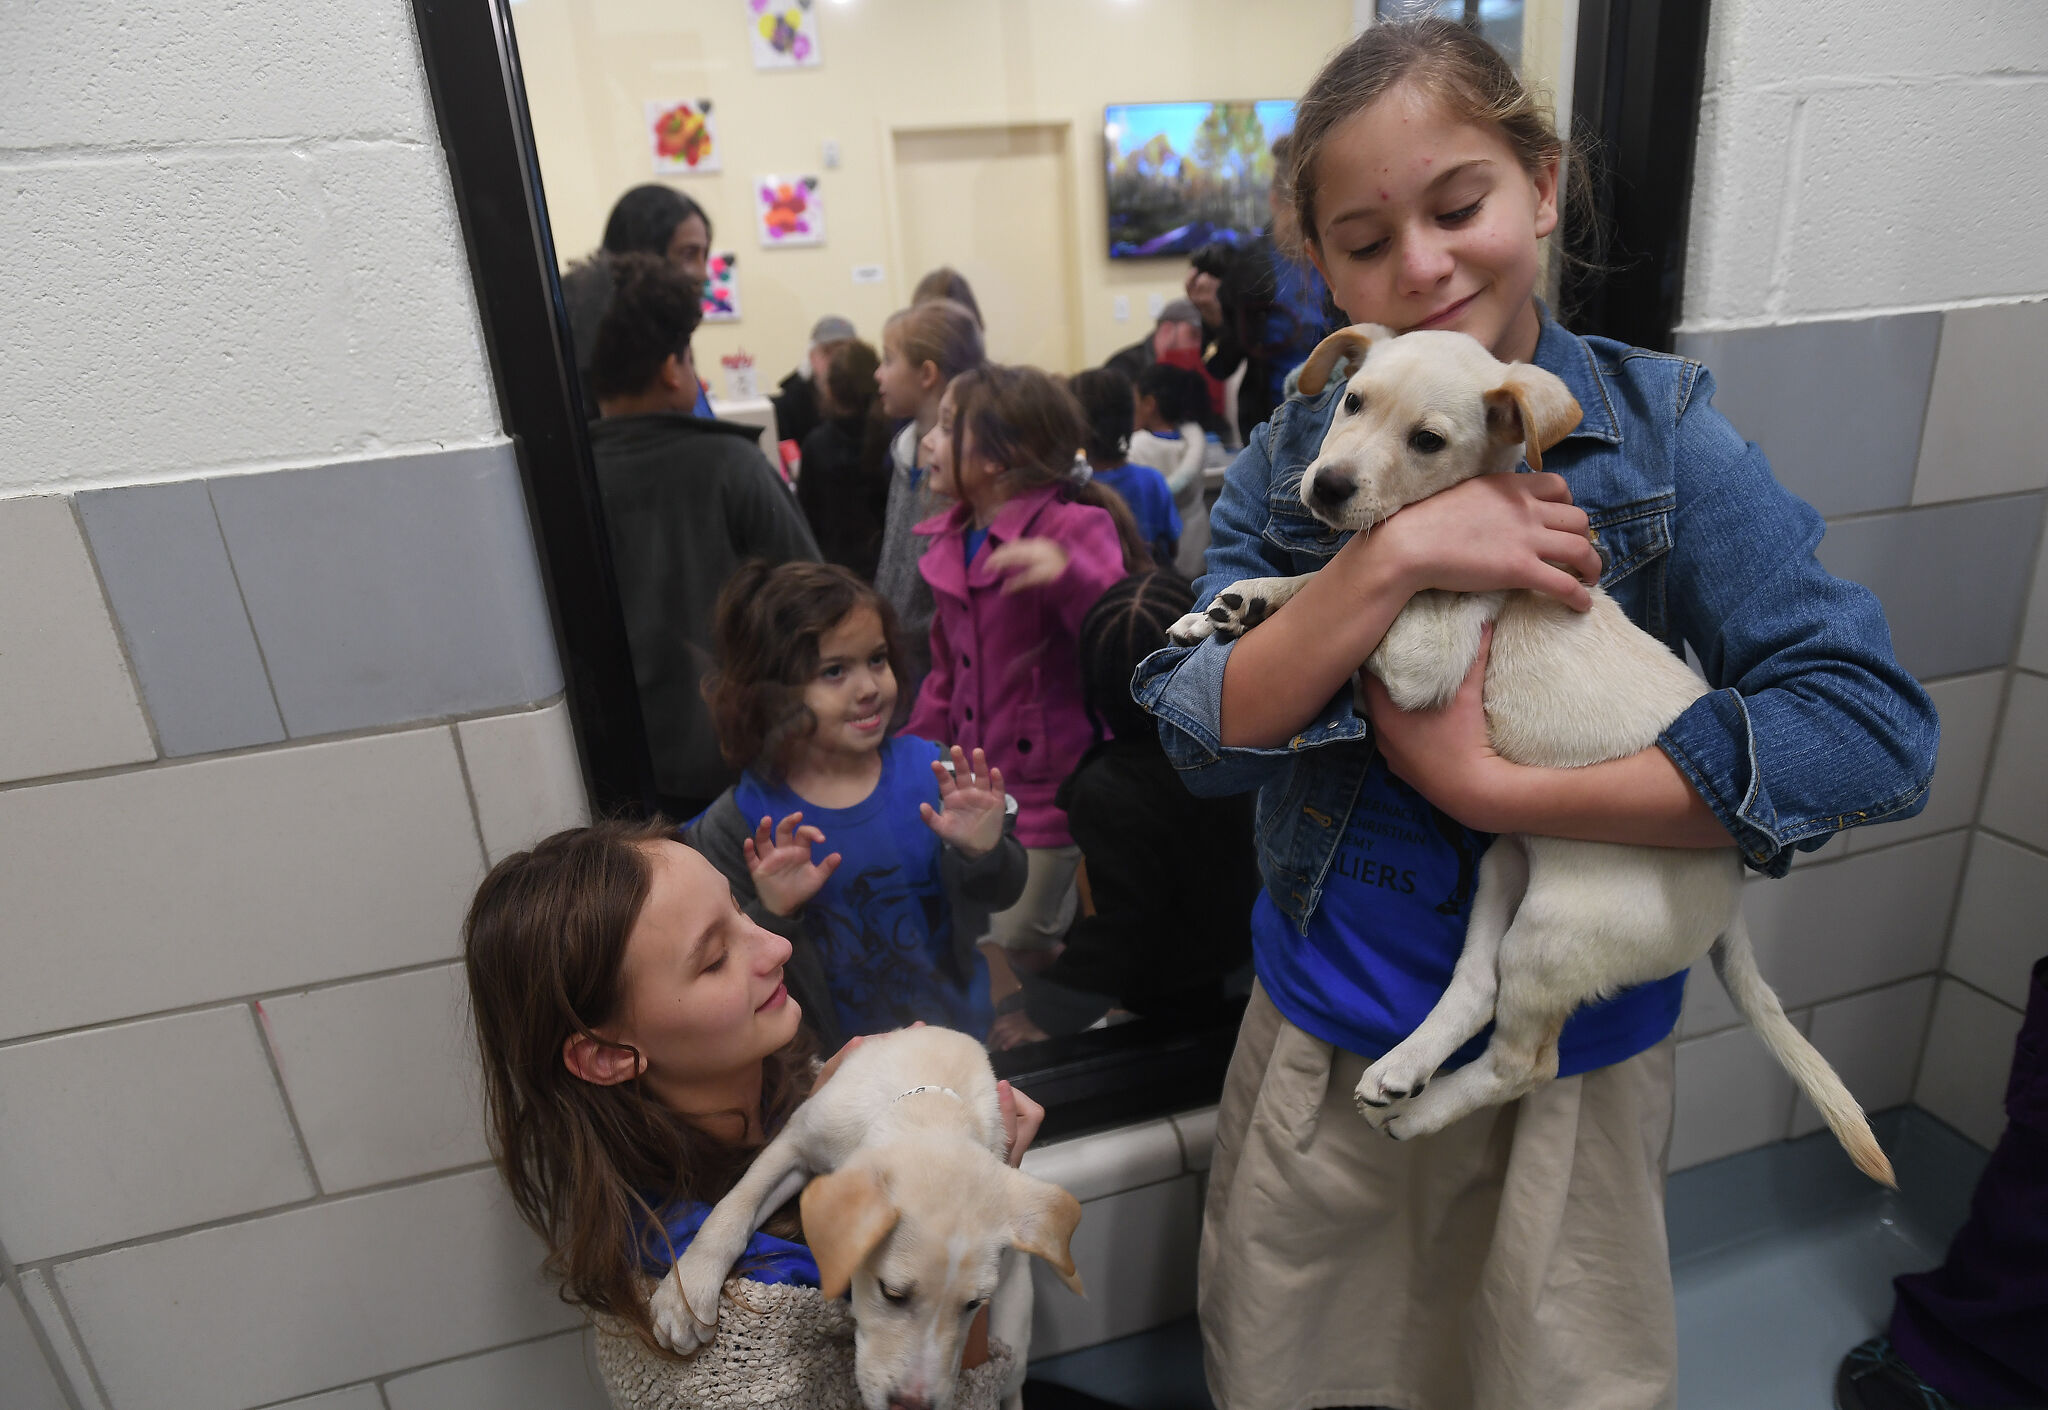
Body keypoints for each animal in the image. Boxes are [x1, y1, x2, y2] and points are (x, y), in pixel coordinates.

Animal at [655, 1024, 1081, 1410]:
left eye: (974, 1305)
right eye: (891, 1293)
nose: (912, 1405)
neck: (931, 1112)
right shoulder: (795, 1143)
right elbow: (735, 1206)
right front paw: (687, 1292)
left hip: (1017, 1324)